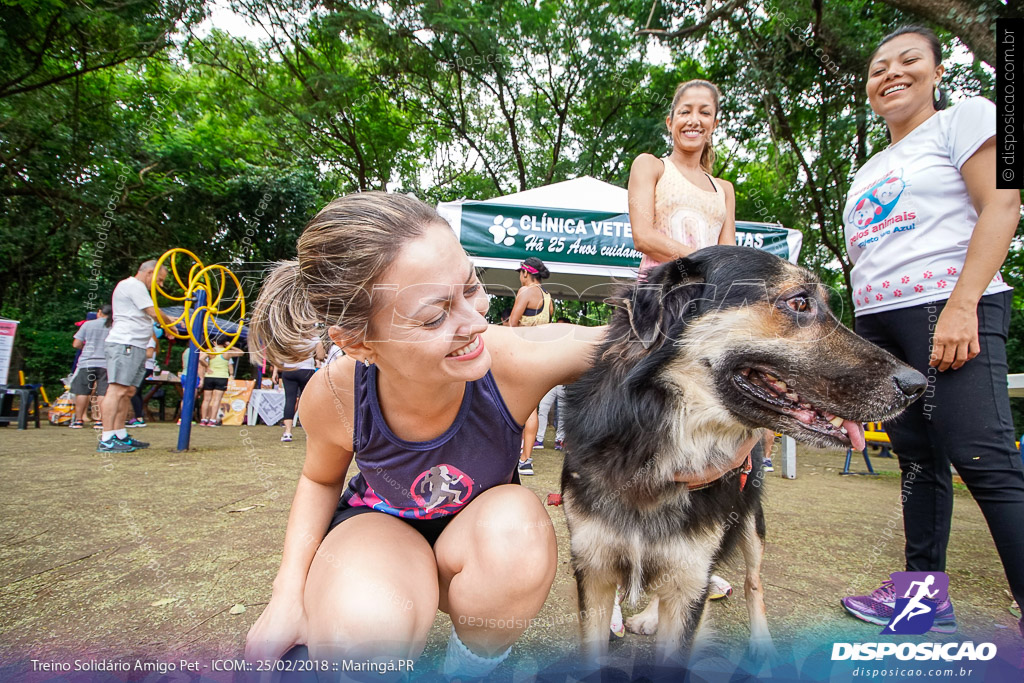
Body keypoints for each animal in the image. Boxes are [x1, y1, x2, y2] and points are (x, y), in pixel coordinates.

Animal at [561, 245, 929, 667]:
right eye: (799, 302)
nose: (918, 384)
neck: (656, 449)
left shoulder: (690, 579)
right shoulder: (594, 572)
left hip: (752, 527)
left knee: (754, 584)